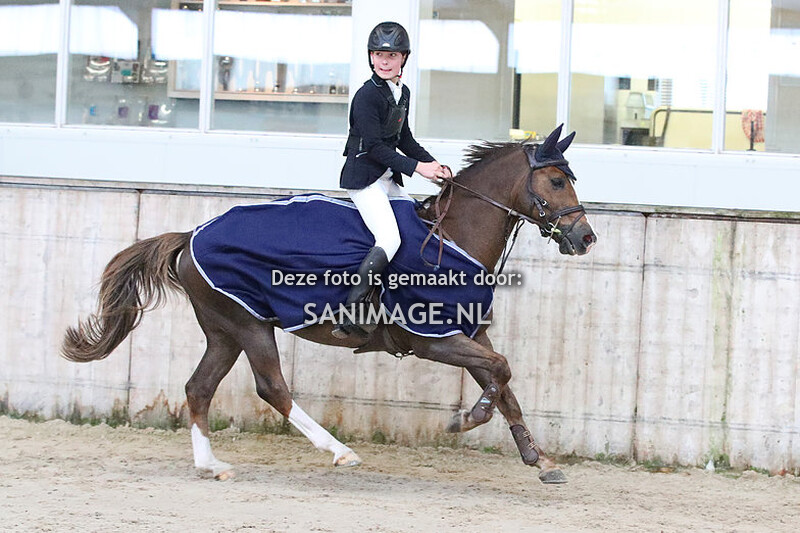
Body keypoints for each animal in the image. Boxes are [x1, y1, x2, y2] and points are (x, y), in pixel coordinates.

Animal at [61, 124, 596, 484]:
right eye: (555, 182)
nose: (585, 238)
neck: (451, 238)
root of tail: (191, 234)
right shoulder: (433, 339)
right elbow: (500, 372)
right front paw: (465, 419)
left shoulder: (467, 332)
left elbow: (504, 384)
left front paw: (539, 460)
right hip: (249, 325)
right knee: (272, 387)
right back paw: (339, 451)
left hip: (223, 330)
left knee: (199, 388)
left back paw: (211, 465)